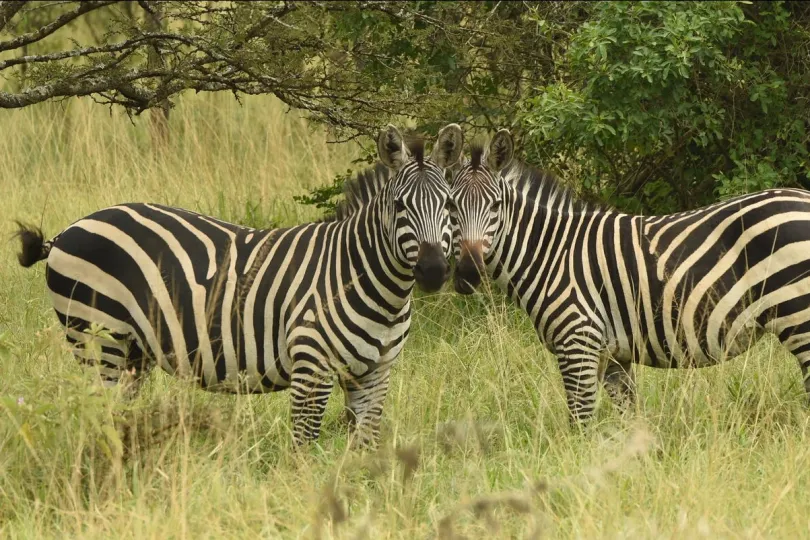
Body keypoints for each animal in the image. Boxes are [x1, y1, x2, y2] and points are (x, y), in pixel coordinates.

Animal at [15, 123, 464, 448]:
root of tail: (70, 229)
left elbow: (364, 449)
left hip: (131, 352)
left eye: (449, 205)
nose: (432, 271)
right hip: (96, 338)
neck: (368, 282)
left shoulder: (375, 375)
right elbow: (303, 450)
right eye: (399, 206)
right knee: (96, 414)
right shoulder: (311, 369)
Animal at [448, 129, 810, 426]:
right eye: (451, 207)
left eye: (496, 206)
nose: (468, 271)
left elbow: (580, 423)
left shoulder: (578, 341)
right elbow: (630, 420)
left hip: (798, 315)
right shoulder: (613, 355)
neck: (549, 253)